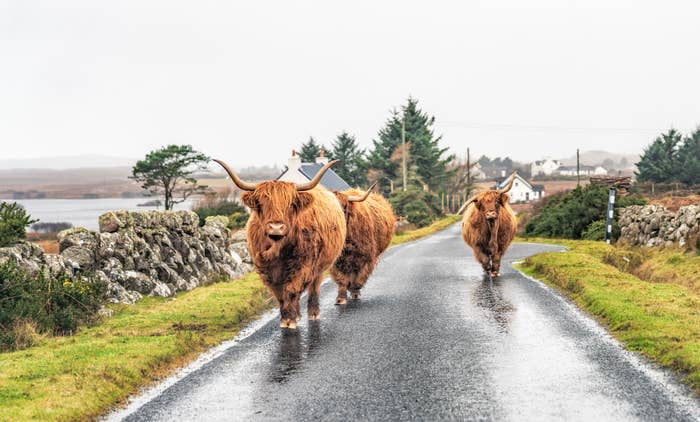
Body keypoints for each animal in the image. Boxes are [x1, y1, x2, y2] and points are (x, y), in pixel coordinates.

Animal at [212, 158, 346, 330]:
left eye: (291, 205)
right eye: (261, 204)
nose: (276, 227)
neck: (278, 249)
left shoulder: (302, 266)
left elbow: (291, 290)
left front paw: (290, 320)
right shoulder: (268, 271)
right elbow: (280, 294)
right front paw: (285, 318)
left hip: (319, 266)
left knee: (314, 287)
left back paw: (313, 313)